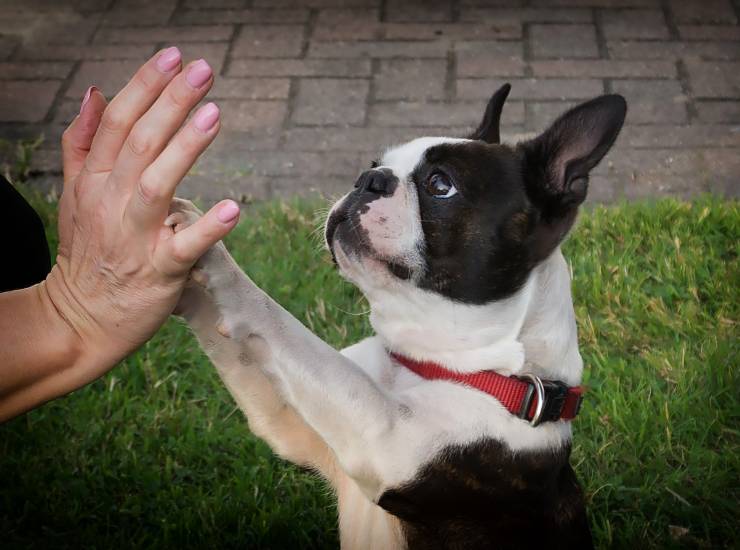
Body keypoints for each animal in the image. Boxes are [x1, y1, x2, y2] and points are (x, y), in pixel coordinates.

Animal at [171, 84, 628, 548]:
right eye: (376, 164)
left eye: (440, 185)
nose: (368, 179)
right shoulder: (290, 425)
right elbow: (239, 346)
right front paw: (181, 254)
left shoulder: (384, 438)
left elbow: (283, 325)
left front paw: (217, 265)